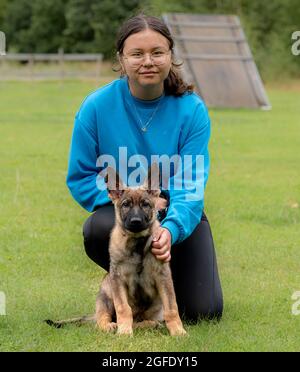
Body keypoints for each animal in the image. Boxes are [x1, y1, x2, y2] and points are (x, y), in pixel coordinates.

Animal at [45, 164, 185, 336]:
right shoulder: (118, 280)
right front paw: (124, 331)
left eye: (145, 204)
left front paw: (178, 330)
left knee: (140, 320)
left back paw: (149, 323)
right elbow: (123, 308)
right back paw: (110, 326)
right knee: (103, 319)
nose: (136, 221)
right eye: (126, 205)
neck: (137, 244)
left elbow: (171, 308)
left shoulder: (163, 276)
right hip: (106, 290)